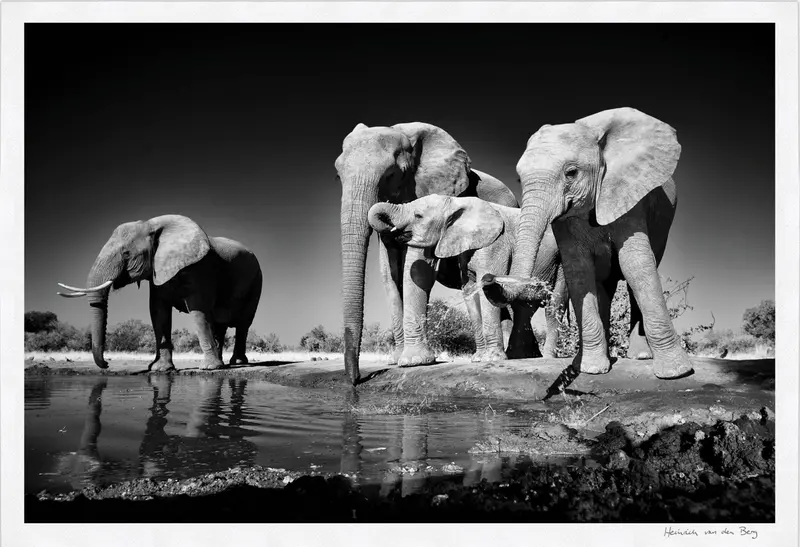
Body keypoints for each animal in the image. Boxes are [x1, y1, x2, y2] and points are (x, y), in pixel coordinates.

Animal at [58, 215, 262, 372]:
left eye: (126, 253)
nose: (107, 363)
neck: (151, 225)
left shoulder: (200, 269)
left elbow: (198, 312)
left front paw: (210, 369)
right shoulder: (156, 272)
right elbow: (158, 313)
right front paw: (160, 369)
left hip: (257, 282)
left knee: (243, 323)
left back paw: (236, 363)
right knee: (221, 324)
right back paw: (225, 364)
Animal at [337, 121, 519, 385]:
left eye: (391, 174)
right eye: (337, 176)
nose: (356, 380)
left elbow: (418, 267)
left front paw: (414, 362)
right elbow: (389, 273)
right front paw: (396, 361)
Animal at [368, 194, 568, 362]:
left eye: (418, 216)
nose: (392, 234)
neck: (455, 202)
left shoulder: (496, 244)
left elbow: (486, 294)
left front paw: (492, 359)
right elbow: (470, 292)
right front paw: (479, 359)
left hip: (561, 263)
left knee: (554, 307)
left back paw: (546, 357)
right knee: (523, 308)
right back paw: (519, 355)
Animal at [483, 107, 693, 380]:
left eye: (571, 173)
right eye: (519, 180)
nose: (488, 278)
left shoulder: (628, 193)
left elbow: (635, 264)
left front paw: (676, 372)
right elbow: (579, 270)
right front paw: (591, 370)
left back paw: (641, 356)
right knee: (603, 286)